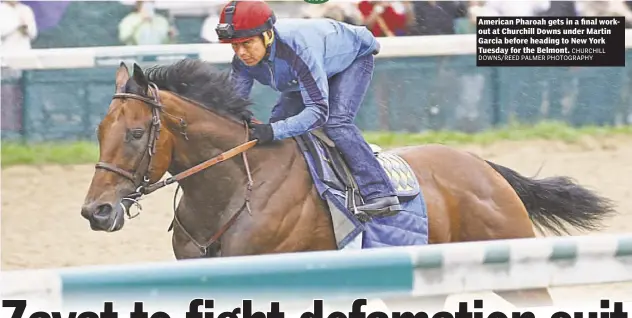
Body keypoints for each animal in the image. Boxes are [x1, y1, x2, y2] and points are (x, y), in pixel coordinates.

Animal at [80, 60, 616, 310]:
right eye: (100, 130)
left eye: (135, 133)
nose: (96, 212)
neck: (236, 190)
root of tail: (482, 167)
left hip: (517, 268)